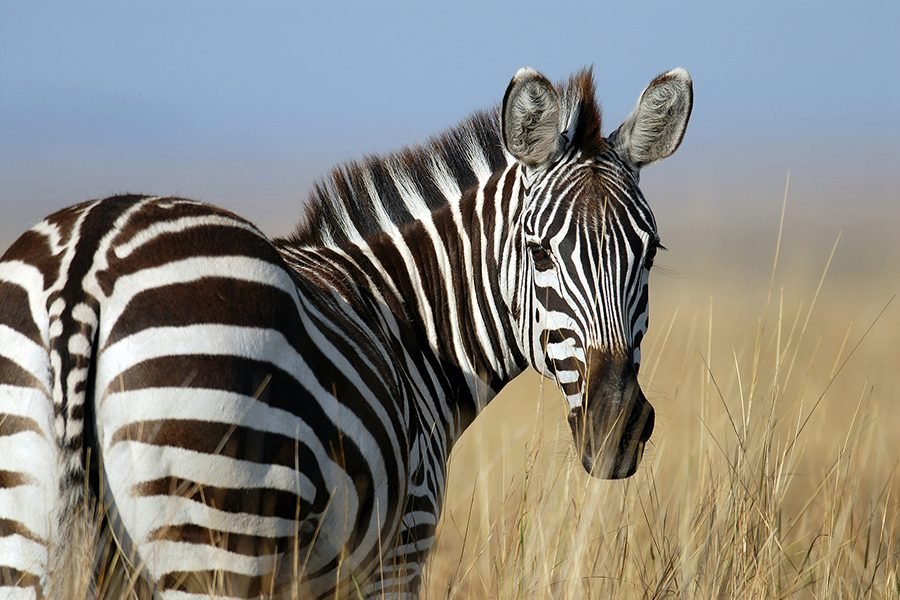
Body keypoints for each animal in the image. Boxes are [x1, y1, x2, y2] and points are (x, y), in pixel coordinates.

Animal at [0, 65, 692, 596]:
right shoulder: (400, 545)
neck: (411, 325)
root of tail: (86, 263)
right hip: (212, 533)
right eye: (538, 251)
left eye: (649, 252)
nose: (616, 427)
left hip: (29, 534)